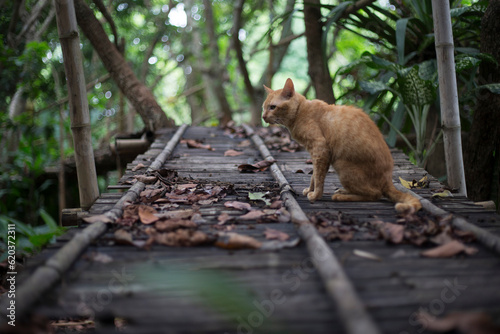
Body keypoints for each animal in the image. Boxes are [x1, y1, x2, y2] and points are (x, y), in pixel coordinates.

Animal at [262, 79, 422, 211]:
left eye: (272, 107)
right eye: (264, 108)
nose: (263, 117)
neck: (301, 112)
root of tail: (388, 179)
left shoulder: (320, 149)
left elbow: (318, 177)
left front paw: (315, 195)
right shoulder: (316, 154)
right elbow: (314, 175)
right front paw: (310, 190)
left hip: (341, 164)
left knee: (375, 194)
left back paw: (342, 196)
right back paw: (344, 191)